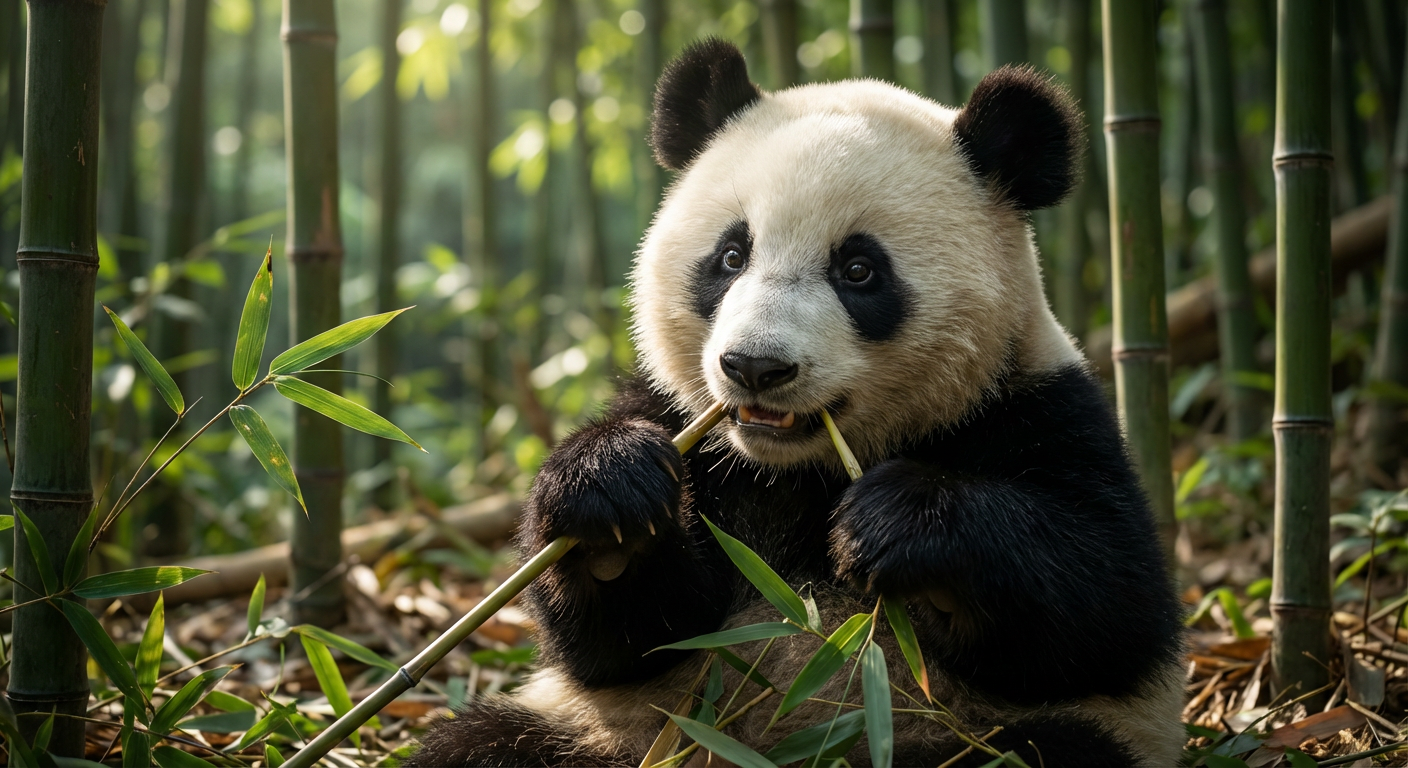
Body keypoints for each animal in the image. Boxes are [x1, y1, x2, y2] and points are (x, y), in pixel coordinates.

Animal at [410, 39, 1186, 767]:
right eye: (731, 256)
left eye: (859, 270)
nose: (754, 366)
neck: (793, 469)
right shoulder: (683, 424)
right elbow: (626, 641)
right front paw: (608, 492)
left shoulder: (1038, 410)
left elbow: (1109, 606)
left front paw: (895, 521)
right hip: (606, 734)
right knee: (479, 746)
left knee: (1041, 748)